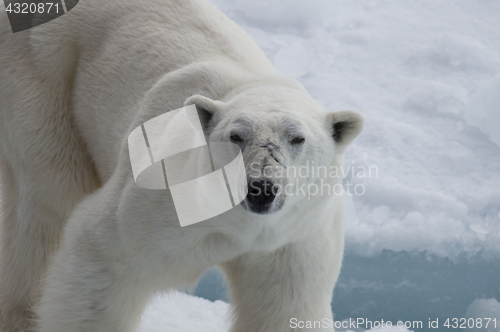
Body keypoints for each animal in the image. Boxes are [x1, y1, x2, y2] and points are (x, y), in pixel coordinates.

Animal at [0, 0, 362, 332]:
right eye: (236, 136)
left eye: (297, 138)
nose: (261, 188)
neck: (237, 227)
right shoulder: (160, 198)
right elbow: (102, 261)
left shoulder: (295, 237)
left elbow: (284, 306)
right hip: (44, 74)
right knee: (51, 198)